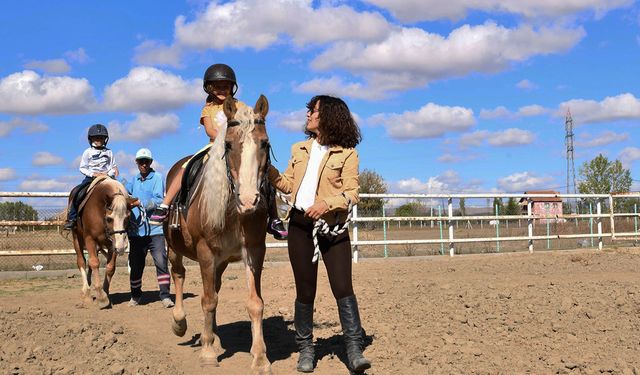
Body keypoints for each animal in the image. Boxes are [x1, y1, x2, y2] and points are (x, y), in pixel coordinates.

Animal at [70, 178, 135, 310]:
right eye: (109, 219)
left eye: (127, 218)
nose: (122, 247)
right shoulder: (89, 238)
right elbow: (94, 263)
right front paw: (101, 297)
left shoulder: (112, 244)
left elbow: (110, 268)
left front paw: (106, 294)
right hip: (76, 237)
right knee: (81, 262)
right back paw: (86, 293)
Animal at [164, 95, 272, 374]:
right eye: (229, 144)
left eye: (264, 143)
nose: (249, 200)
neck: (233, 211)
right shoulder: (205, 252)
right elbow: (207, 300)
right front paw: (208, 352)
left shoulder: (254, 251)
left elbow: (255, 303)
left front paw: (260, 358)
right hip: (175, 248)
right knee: (179, 275)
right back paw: (180, 323)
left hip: (221, 261)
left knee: (215, 287)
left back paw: (212, 335)